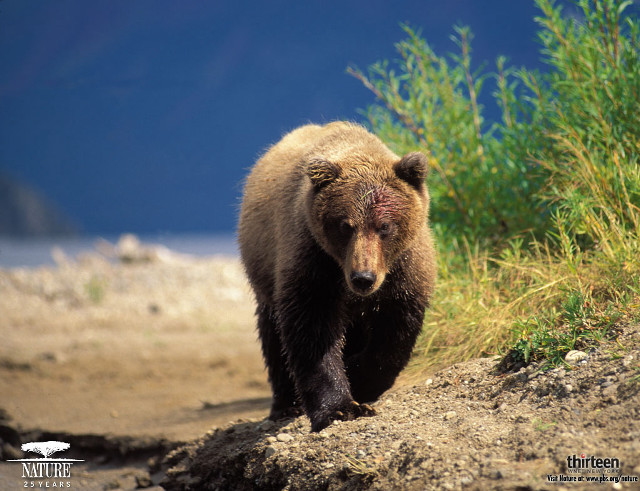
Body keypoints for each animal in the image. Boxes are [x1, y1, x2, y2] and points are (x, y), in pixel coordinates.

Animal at [238, 121, 436, 432]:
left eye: (384, 225)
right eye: (344, 225)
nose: (363, 278)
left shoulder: (405, 270)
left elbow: (394, 335)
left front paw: (360, 378)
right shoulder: (314, 259)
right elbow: (312, 332)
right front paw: (340, 408)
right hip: (264, 268)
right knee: (272, 334)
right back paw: (285, 404)